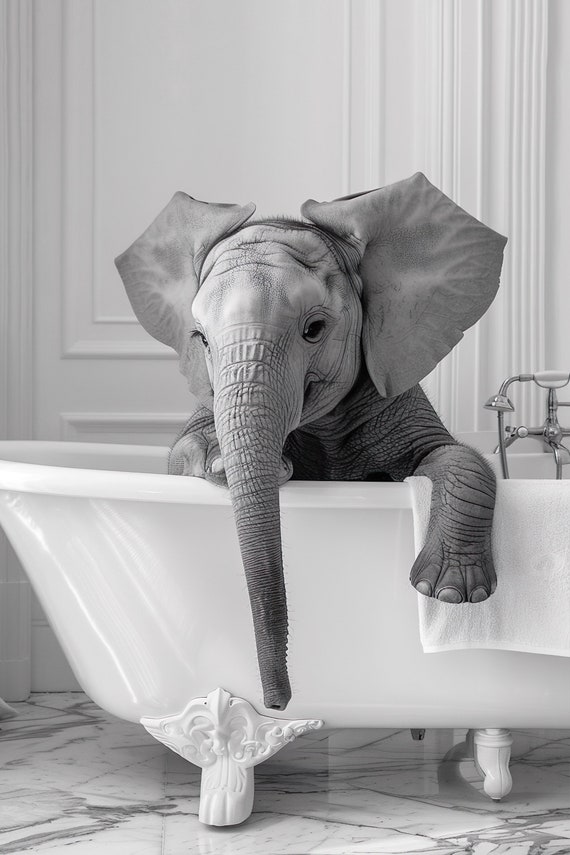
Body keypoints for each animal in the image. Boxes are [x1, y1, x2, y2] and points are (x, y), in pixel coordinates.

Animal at [115, 172, 507, 712]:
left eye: (315, 329)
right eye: (201, 339)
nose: (277, 705)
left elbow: (455, 457)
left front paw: (450, 595)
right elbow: (179, 453)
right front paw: (220, 462)